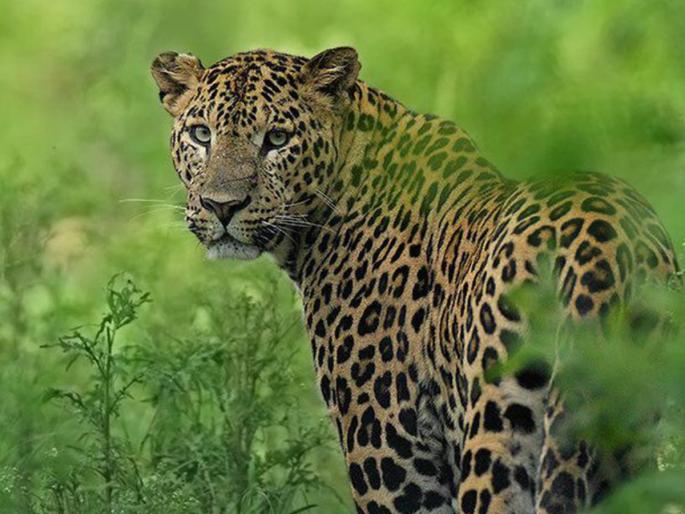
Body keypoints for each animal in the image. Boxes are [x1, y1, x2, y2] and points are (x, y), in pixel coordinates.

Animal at [150, 47, 680, 514]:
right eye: (201, 134)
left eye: (277, 140)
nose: (221, 206)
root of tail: (603, 243)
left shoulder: (389, 454)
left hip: (498, 433)